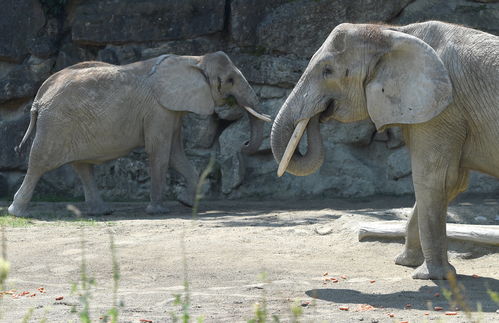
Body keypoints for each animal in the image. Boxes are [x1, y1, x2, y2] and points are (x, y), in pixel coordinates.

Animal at [8, 51, 270, 218]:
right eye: (229, 80)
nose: (244, 143)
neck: (194, 59)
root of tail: (41, 94)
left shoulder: (171, 110)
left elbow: (175, 153)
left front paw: (187, 202)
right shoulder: (158, 109)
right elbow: (160, 152)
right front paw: (159, 211)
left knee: (82, 166)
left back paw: (101, 212)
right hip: (56, 123)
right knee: (40, 162)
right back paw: (17, 213)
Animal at [272, 21, 499, 280]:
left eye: (327, 71)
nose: (317, 115)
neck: (393, 33)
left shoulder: (444, 109)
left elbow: (436, 180)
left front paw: (432, 276)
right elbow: (453, 183)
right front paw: (405, 262)